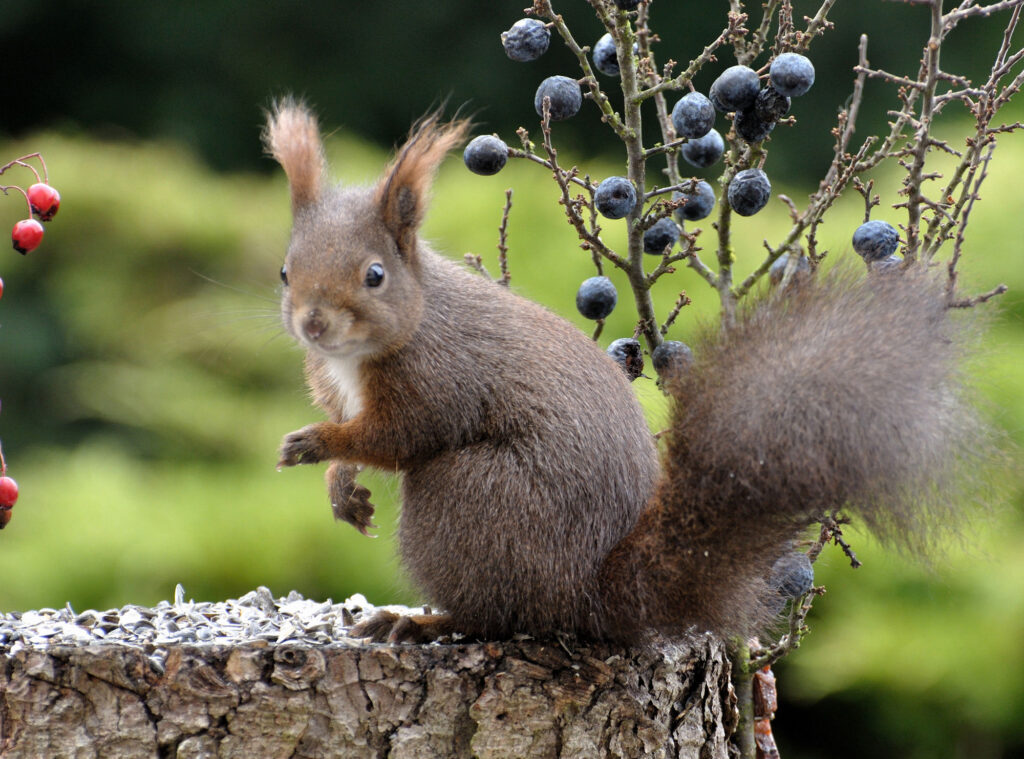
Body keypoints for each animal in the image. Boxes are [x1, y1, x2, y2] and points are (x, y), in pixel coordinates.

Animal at [264, 100, 984, 645]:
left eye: (374, 276)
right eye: (285, 269)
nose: (313, 325)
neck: (359, 354)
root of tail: (591, 595)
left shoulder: (439, 376)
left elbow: (400, 436)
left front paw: (315, 445)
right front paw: (342, 486)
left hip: (471, 500)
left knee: (497, 615)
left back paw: (423, 621)